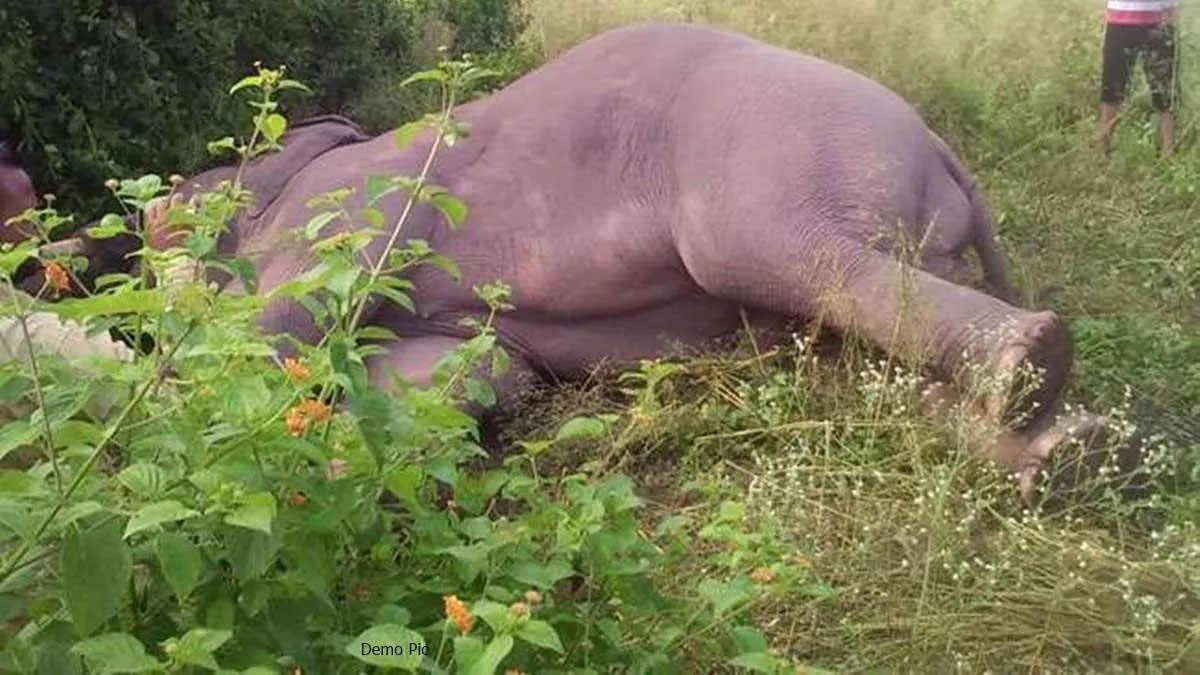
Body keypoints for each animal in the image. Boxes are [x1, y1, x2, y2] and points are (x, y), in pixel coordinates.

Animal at [13, 22, 1108, 501]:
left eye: (163, 212)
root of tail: (941, 149)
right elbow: (465, 373)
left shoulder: (349, 214)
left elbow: (264, 339)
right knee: (845, 370)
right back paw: (1065, 451)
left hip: (775, 162)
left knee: (800, 262)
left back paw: (1039, 379)